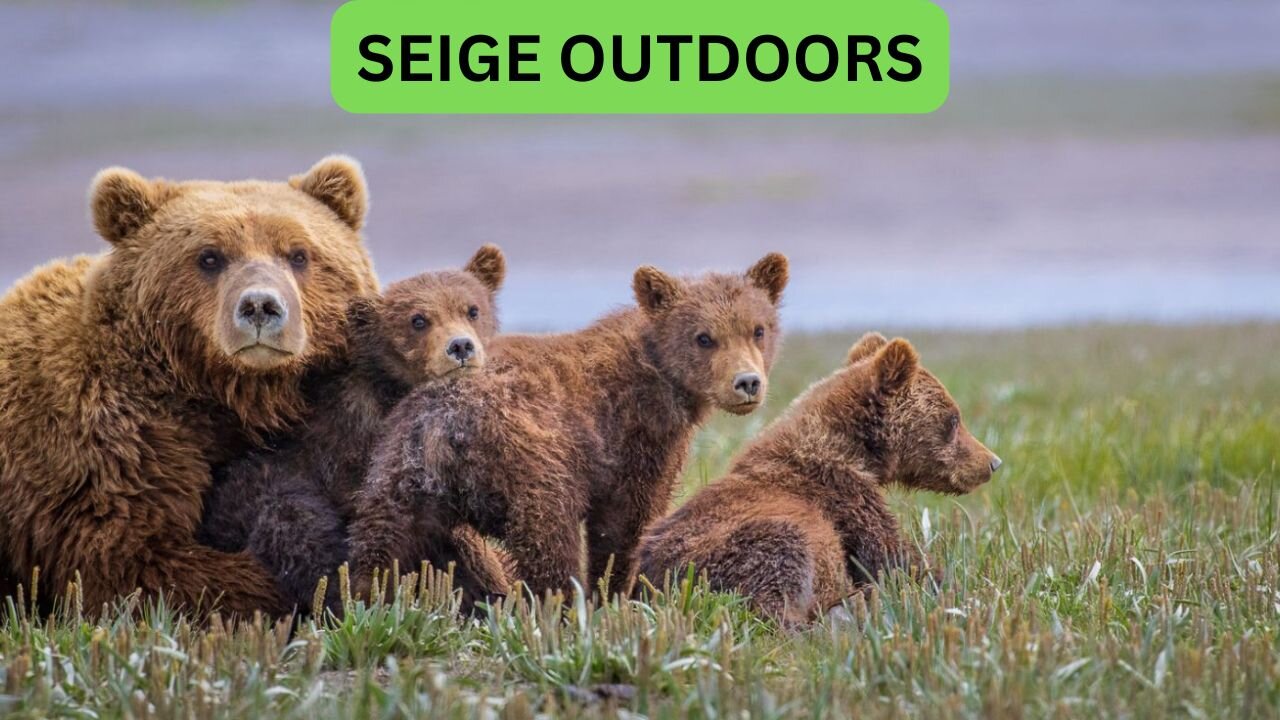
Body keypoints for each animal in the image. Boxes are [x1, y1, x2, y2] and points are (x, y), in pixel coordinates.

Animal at [346, 253, 791, 599]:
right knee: (550, 541)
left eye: (758, 329)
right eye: (704, 337)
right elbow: (624, 524)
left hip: (398, 475)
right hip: (533, 464)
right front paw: (615, 592)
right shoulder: (632, 438)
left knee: (378, 548)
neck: (665, 380)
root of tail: (445, 425)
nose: (747, 382)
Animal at [631, 333, 1002, 627]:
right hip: (731, 552)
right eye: (953, 419)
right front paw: (958, 586)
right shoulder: (843, 498)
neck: (855, 450)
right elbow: (893, 560)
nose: (992, 462)